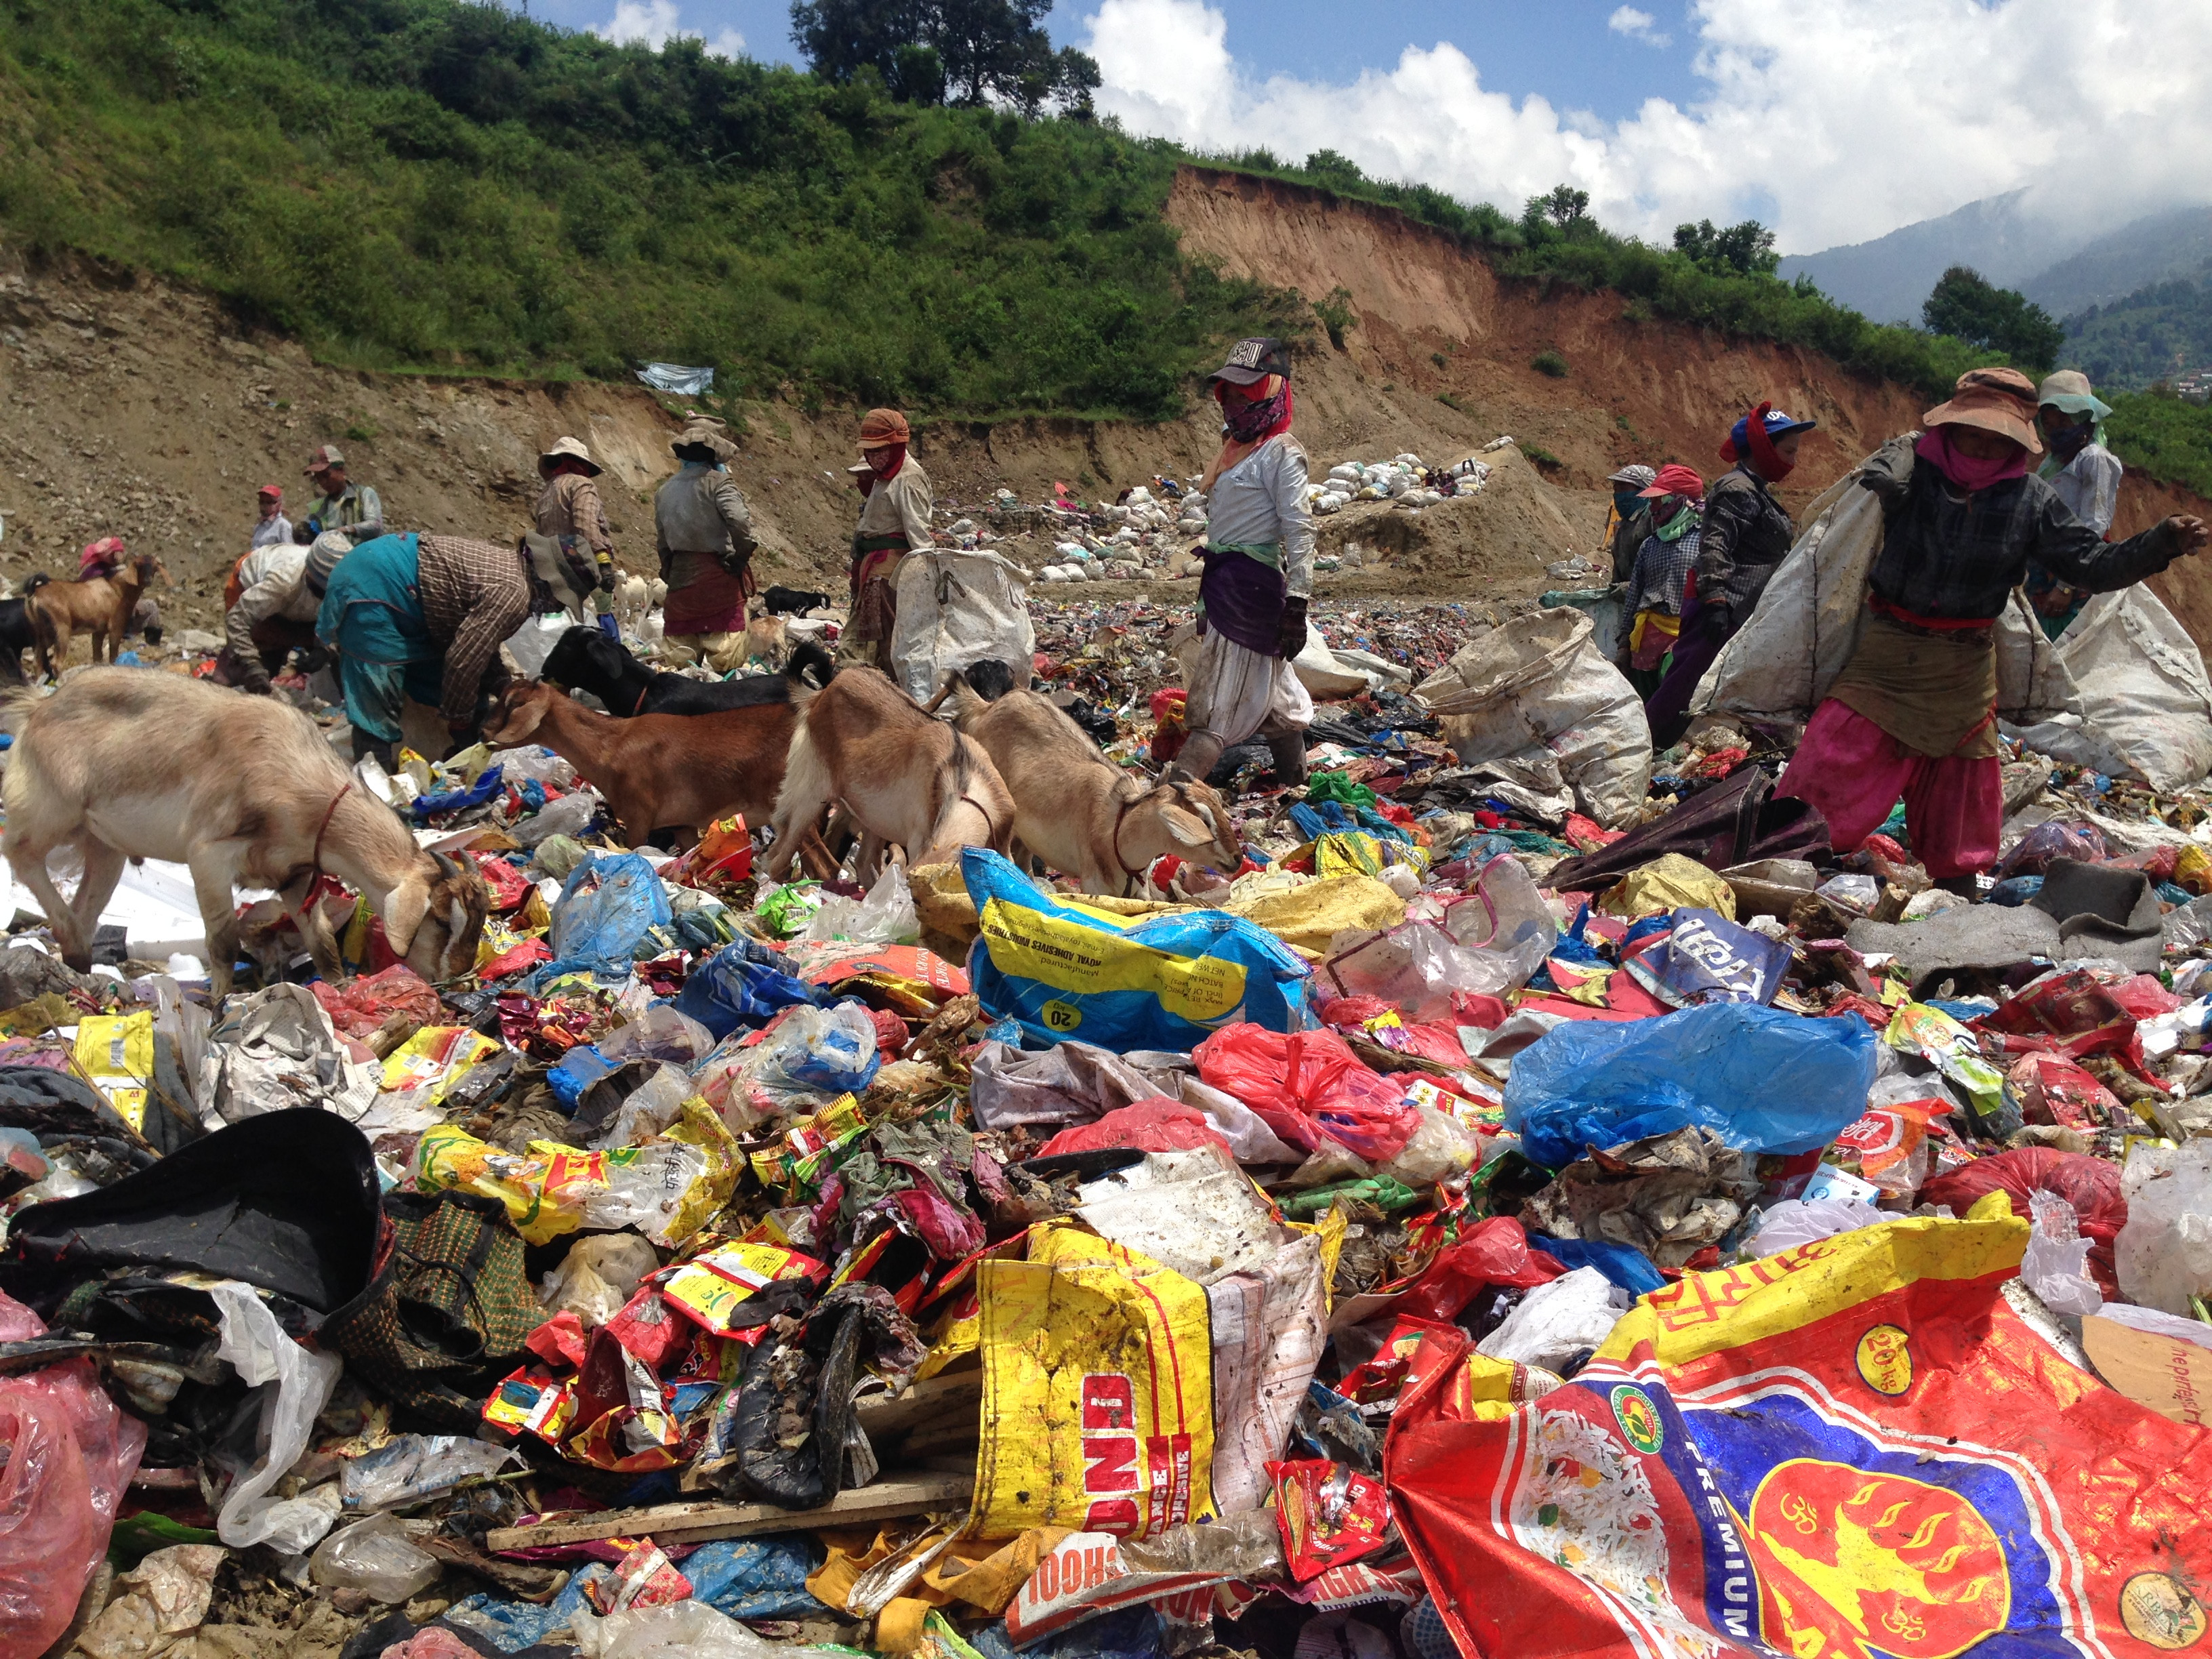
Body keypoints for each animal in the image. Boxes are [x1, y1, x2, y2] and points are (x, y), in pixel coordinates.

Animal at [0, 668, 487, 1000]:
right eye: (441, 919)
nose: (458, 977)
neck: (297, 775)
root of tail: (38, 708)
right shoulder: (209, 856)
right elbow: (223, 944)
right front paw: (219, 1006)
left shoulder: (296, 874)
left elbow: (323, 941)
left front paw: (337, 990)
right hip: (50, 809)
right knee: (20, 852)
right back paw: (64, 932)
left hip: (105, 846)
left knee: (87, 907)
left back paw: (80, 967)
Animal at [765, 668, 1012, 889]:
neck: (964, 776)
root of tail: (822, 693)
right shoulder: (918, 838)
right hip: (811, 787)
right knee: (780, 851)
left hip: (871, 815)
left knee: (862, 860)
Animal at [920, 668, 1247, 898]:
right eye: (1203, 819)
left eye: (1219, 806)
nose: (1237, 859)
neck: (1118, 827)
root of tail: (983, 707)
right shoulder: (1094, 886)